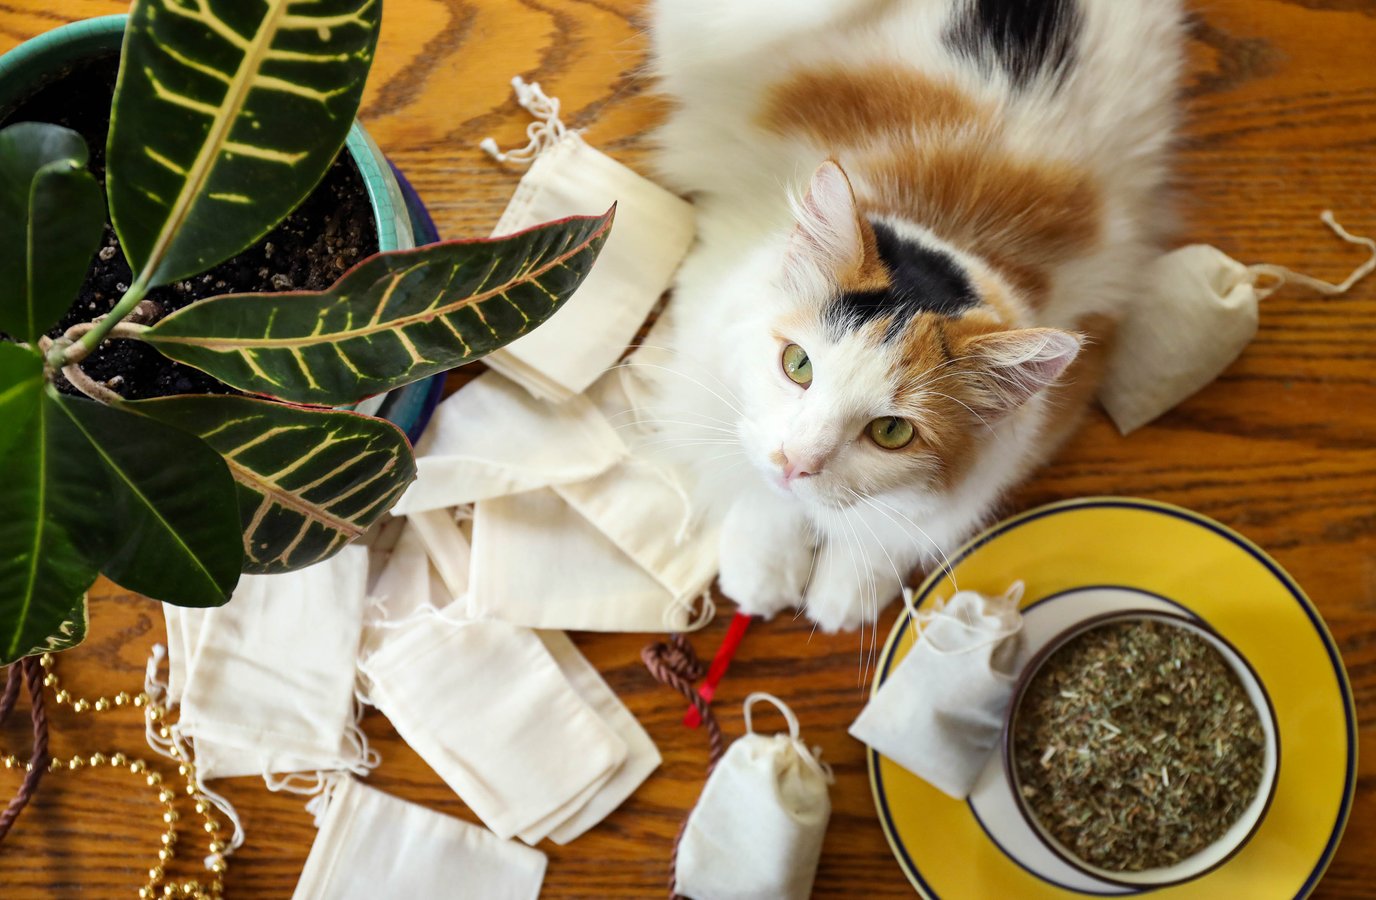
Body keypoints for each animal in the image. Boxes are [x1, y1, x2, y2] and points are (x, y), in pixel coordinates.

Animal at [643, 1, 1183, 635]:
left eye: (892, 432)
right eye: (797, 365)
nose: (797, 463)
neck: (946, 226)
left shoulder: (1051, 415)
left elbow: (894, 532)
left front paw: (847, 591)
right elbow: (755, 477)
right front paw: (763, 570)